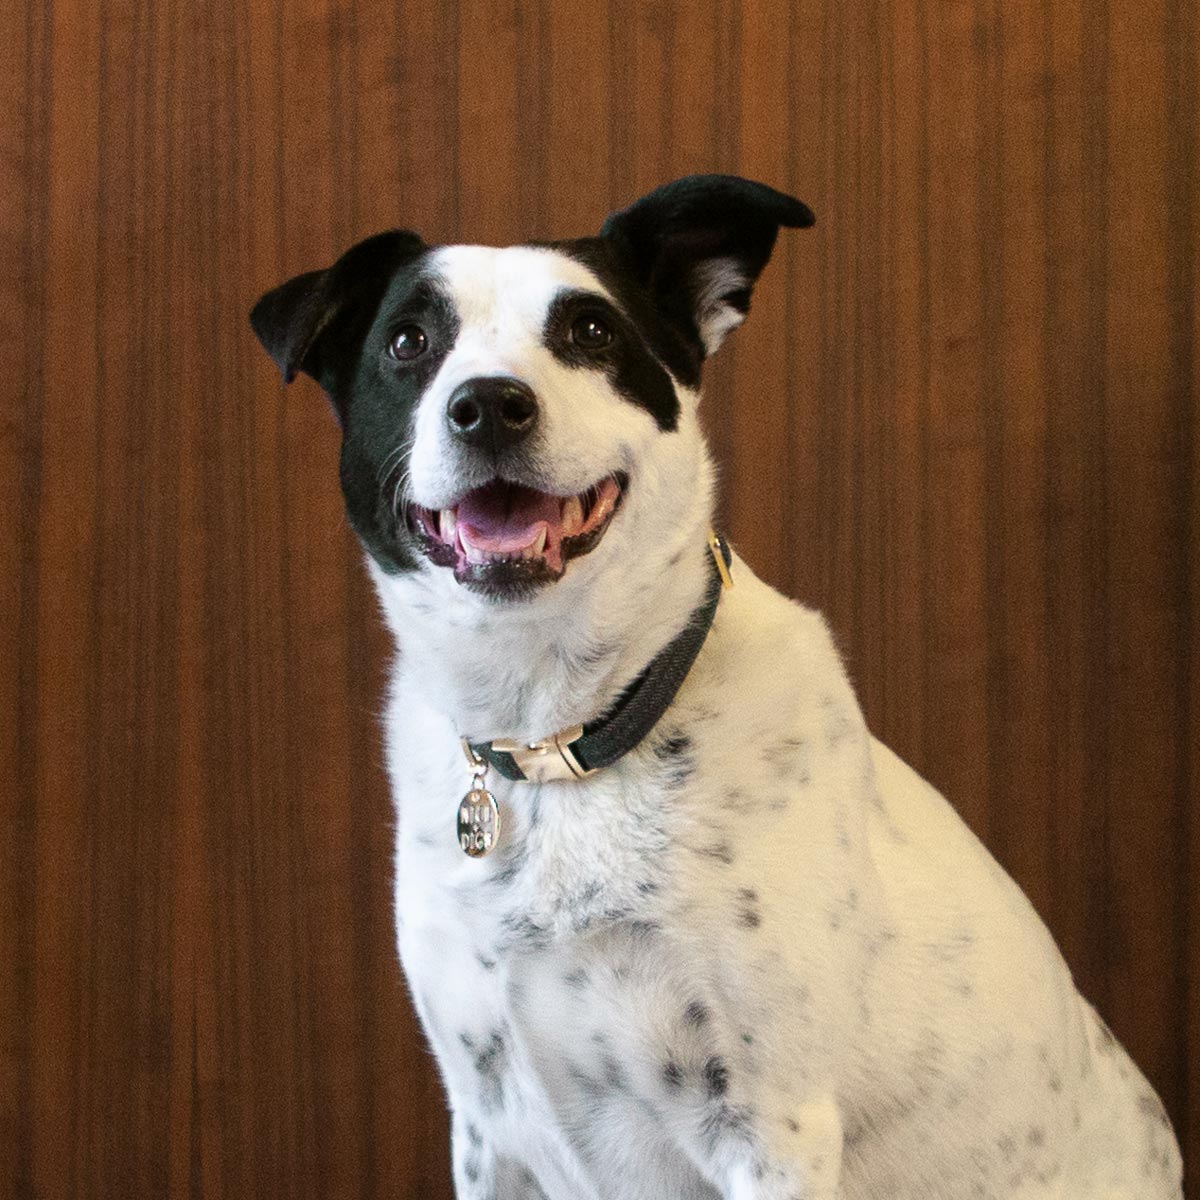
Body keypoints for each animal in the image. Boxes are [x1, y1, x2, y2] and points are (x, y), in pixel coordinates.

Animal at [250, 175, 1180, 1200]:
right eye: (409, 341)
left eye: (591, 331)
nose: (489, 404)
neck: (561, 742)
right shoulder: (489, 1128)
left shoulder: (770, 1129)